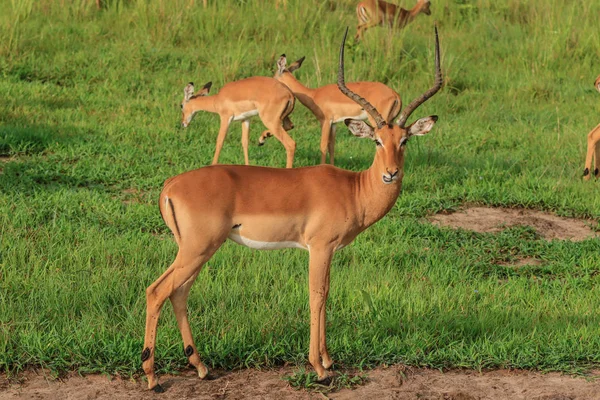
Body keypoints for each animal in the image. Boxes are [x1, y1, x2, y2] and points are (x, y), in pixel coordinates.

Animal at [272, 54, 404, 164]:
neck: (313, 95)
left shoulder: (325, 121)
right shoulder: (334, 123)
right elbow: (332, 146)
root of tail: (395, 94)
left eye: (274, 76)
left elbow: (323, 145)